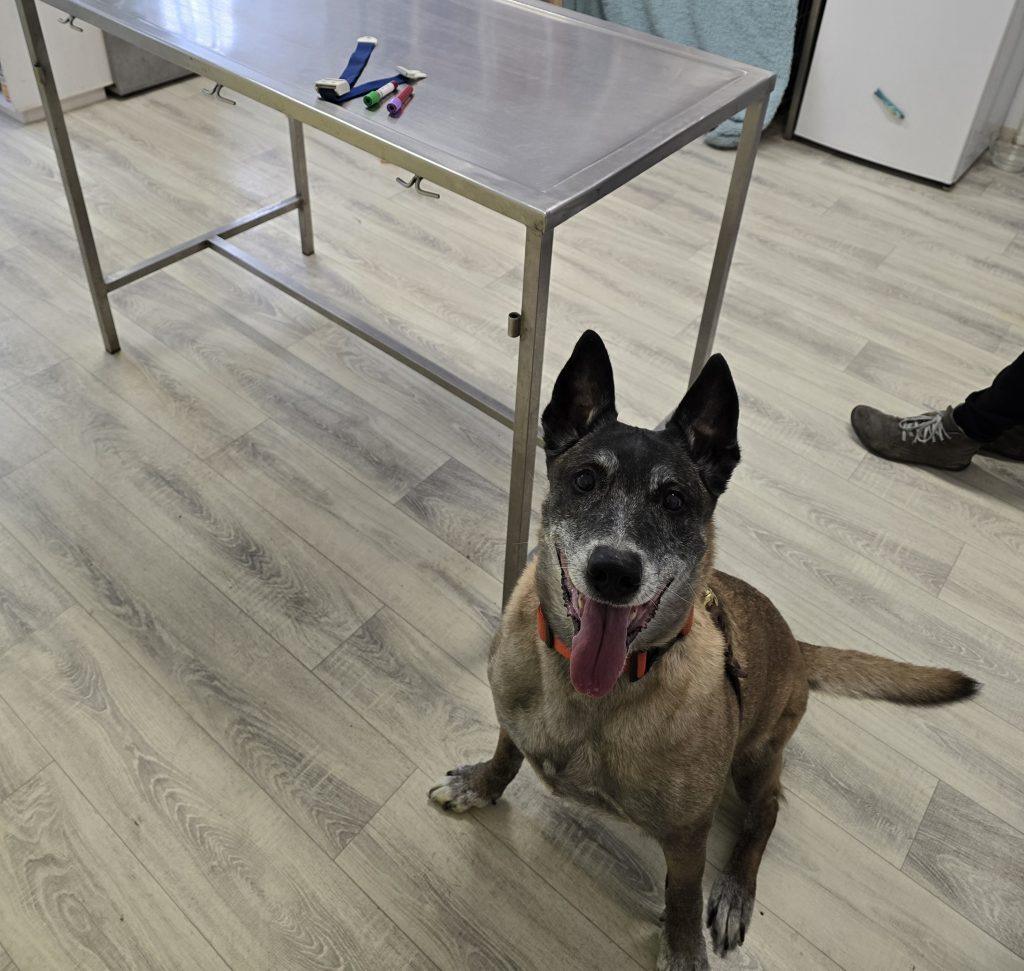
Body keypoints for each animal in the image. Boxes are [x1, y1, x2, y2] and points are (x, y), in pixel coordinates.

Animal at [429, 331, 977, 970]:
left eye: (673, 499)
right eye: (585, 480)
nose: (613, 572)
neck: (594, 694)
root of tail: (797, 645)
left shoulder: (688, 833)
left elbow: (684, 891)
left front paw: (684, 947)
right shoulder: (513, 721)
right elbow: (507, 752)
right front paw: (481, 785)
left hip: (757, 756)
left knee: (767, 812)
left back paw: (737, 890)